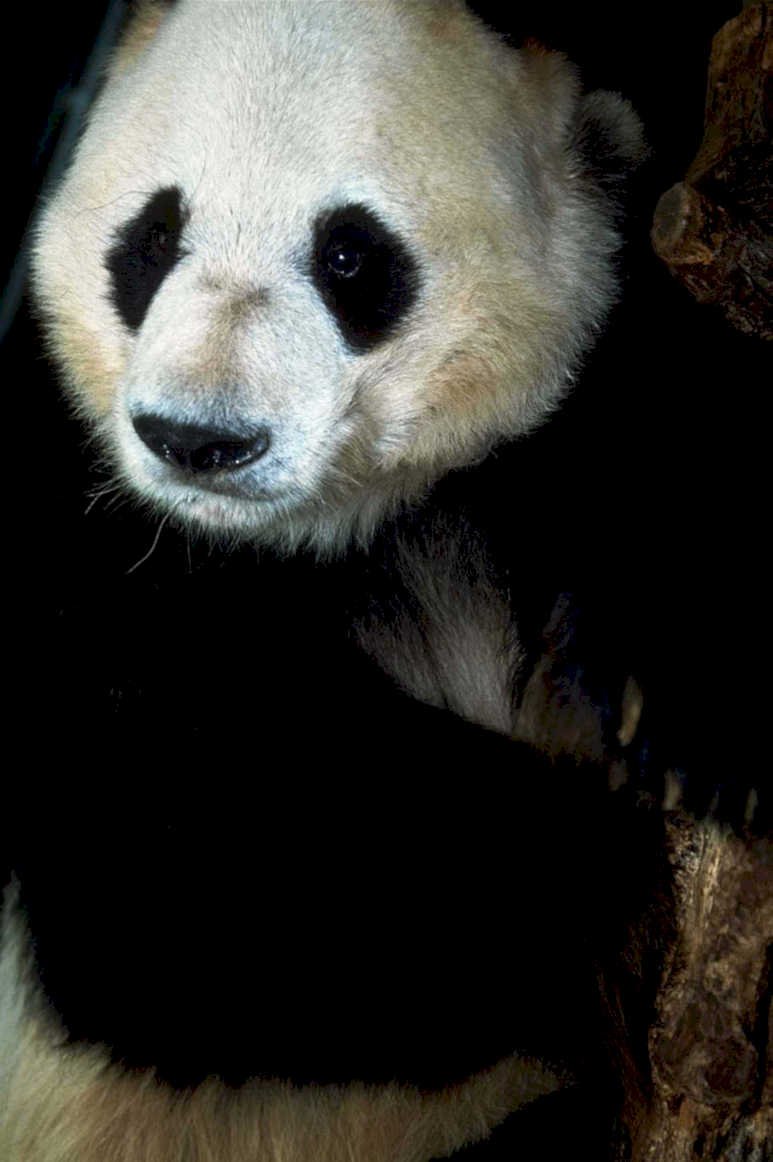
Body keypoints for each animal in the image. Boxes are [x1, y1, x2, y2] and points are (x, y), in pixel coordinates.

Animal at [1, 1, 654, 1159]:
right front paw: (584, 848)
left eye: (349, 255)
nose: (197, 439)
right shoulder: (80, 543)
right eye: (153, 239)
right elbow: (163, 906)